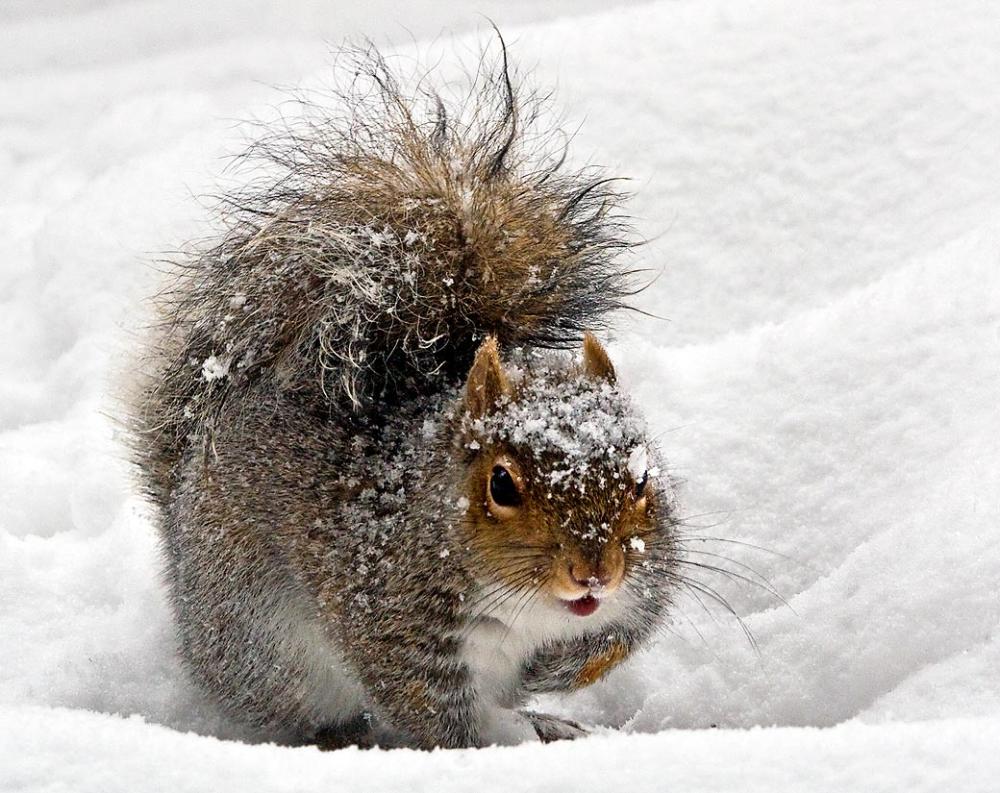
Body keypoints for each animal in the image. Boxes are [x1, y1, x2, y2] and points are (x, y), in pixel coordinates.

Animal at [129, 41, 680, 748]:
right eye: (501, 485)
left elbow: (615, 642)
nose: (593, 575)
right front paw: (484, 750)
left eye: (641, 479)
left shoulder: (648, 581)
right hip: (261, 644)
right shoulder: (388, 610)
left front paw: (552, 674)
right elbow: (427, 708)